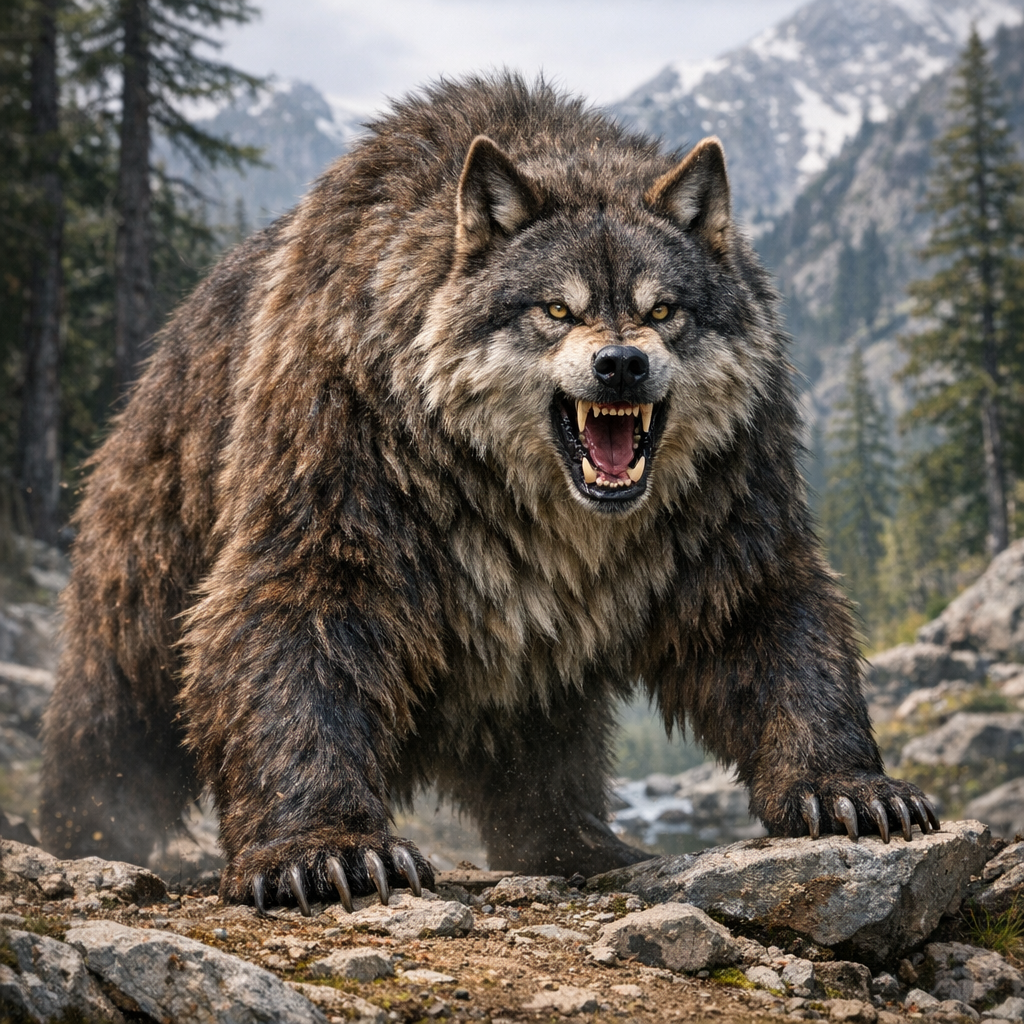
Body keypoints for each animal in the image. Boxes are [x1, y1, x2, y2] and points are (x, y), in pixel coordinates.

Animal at [39, 75, 937, 915]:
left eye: (664, 308)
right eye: (556, 306)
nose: (620, 365)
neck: (526, 497)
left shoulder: (716, 497)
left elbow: (765, 616)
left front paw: (853, 792)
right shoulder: (351, 455)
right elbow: (296, 621)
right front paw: (328, 851)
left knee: (545, 740)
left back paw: (583, 839)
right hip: (151, 533)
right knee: (116, 704)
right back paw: (84, 825)